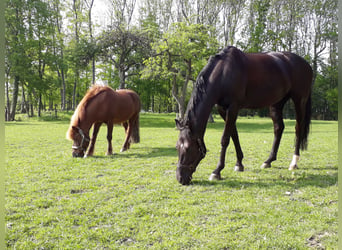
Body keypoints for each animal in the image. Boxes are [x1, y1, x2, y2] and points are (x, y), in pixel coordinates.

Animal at [176, 46, 312, 185]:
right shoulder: (222, 109)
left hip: (299, 100)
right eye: (177, 147)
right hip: (276, 103)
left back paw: (294, 163)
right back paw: (268, 161)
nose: (180, 178)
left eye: (187, 148)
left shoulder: (233, 108)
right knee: (279, 128)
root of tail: (306, 64)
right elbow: (234, 135)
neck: (223, 73)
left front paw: (217, 171)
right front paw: (239, 164)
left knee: (298, 128)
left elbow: (225, 139)